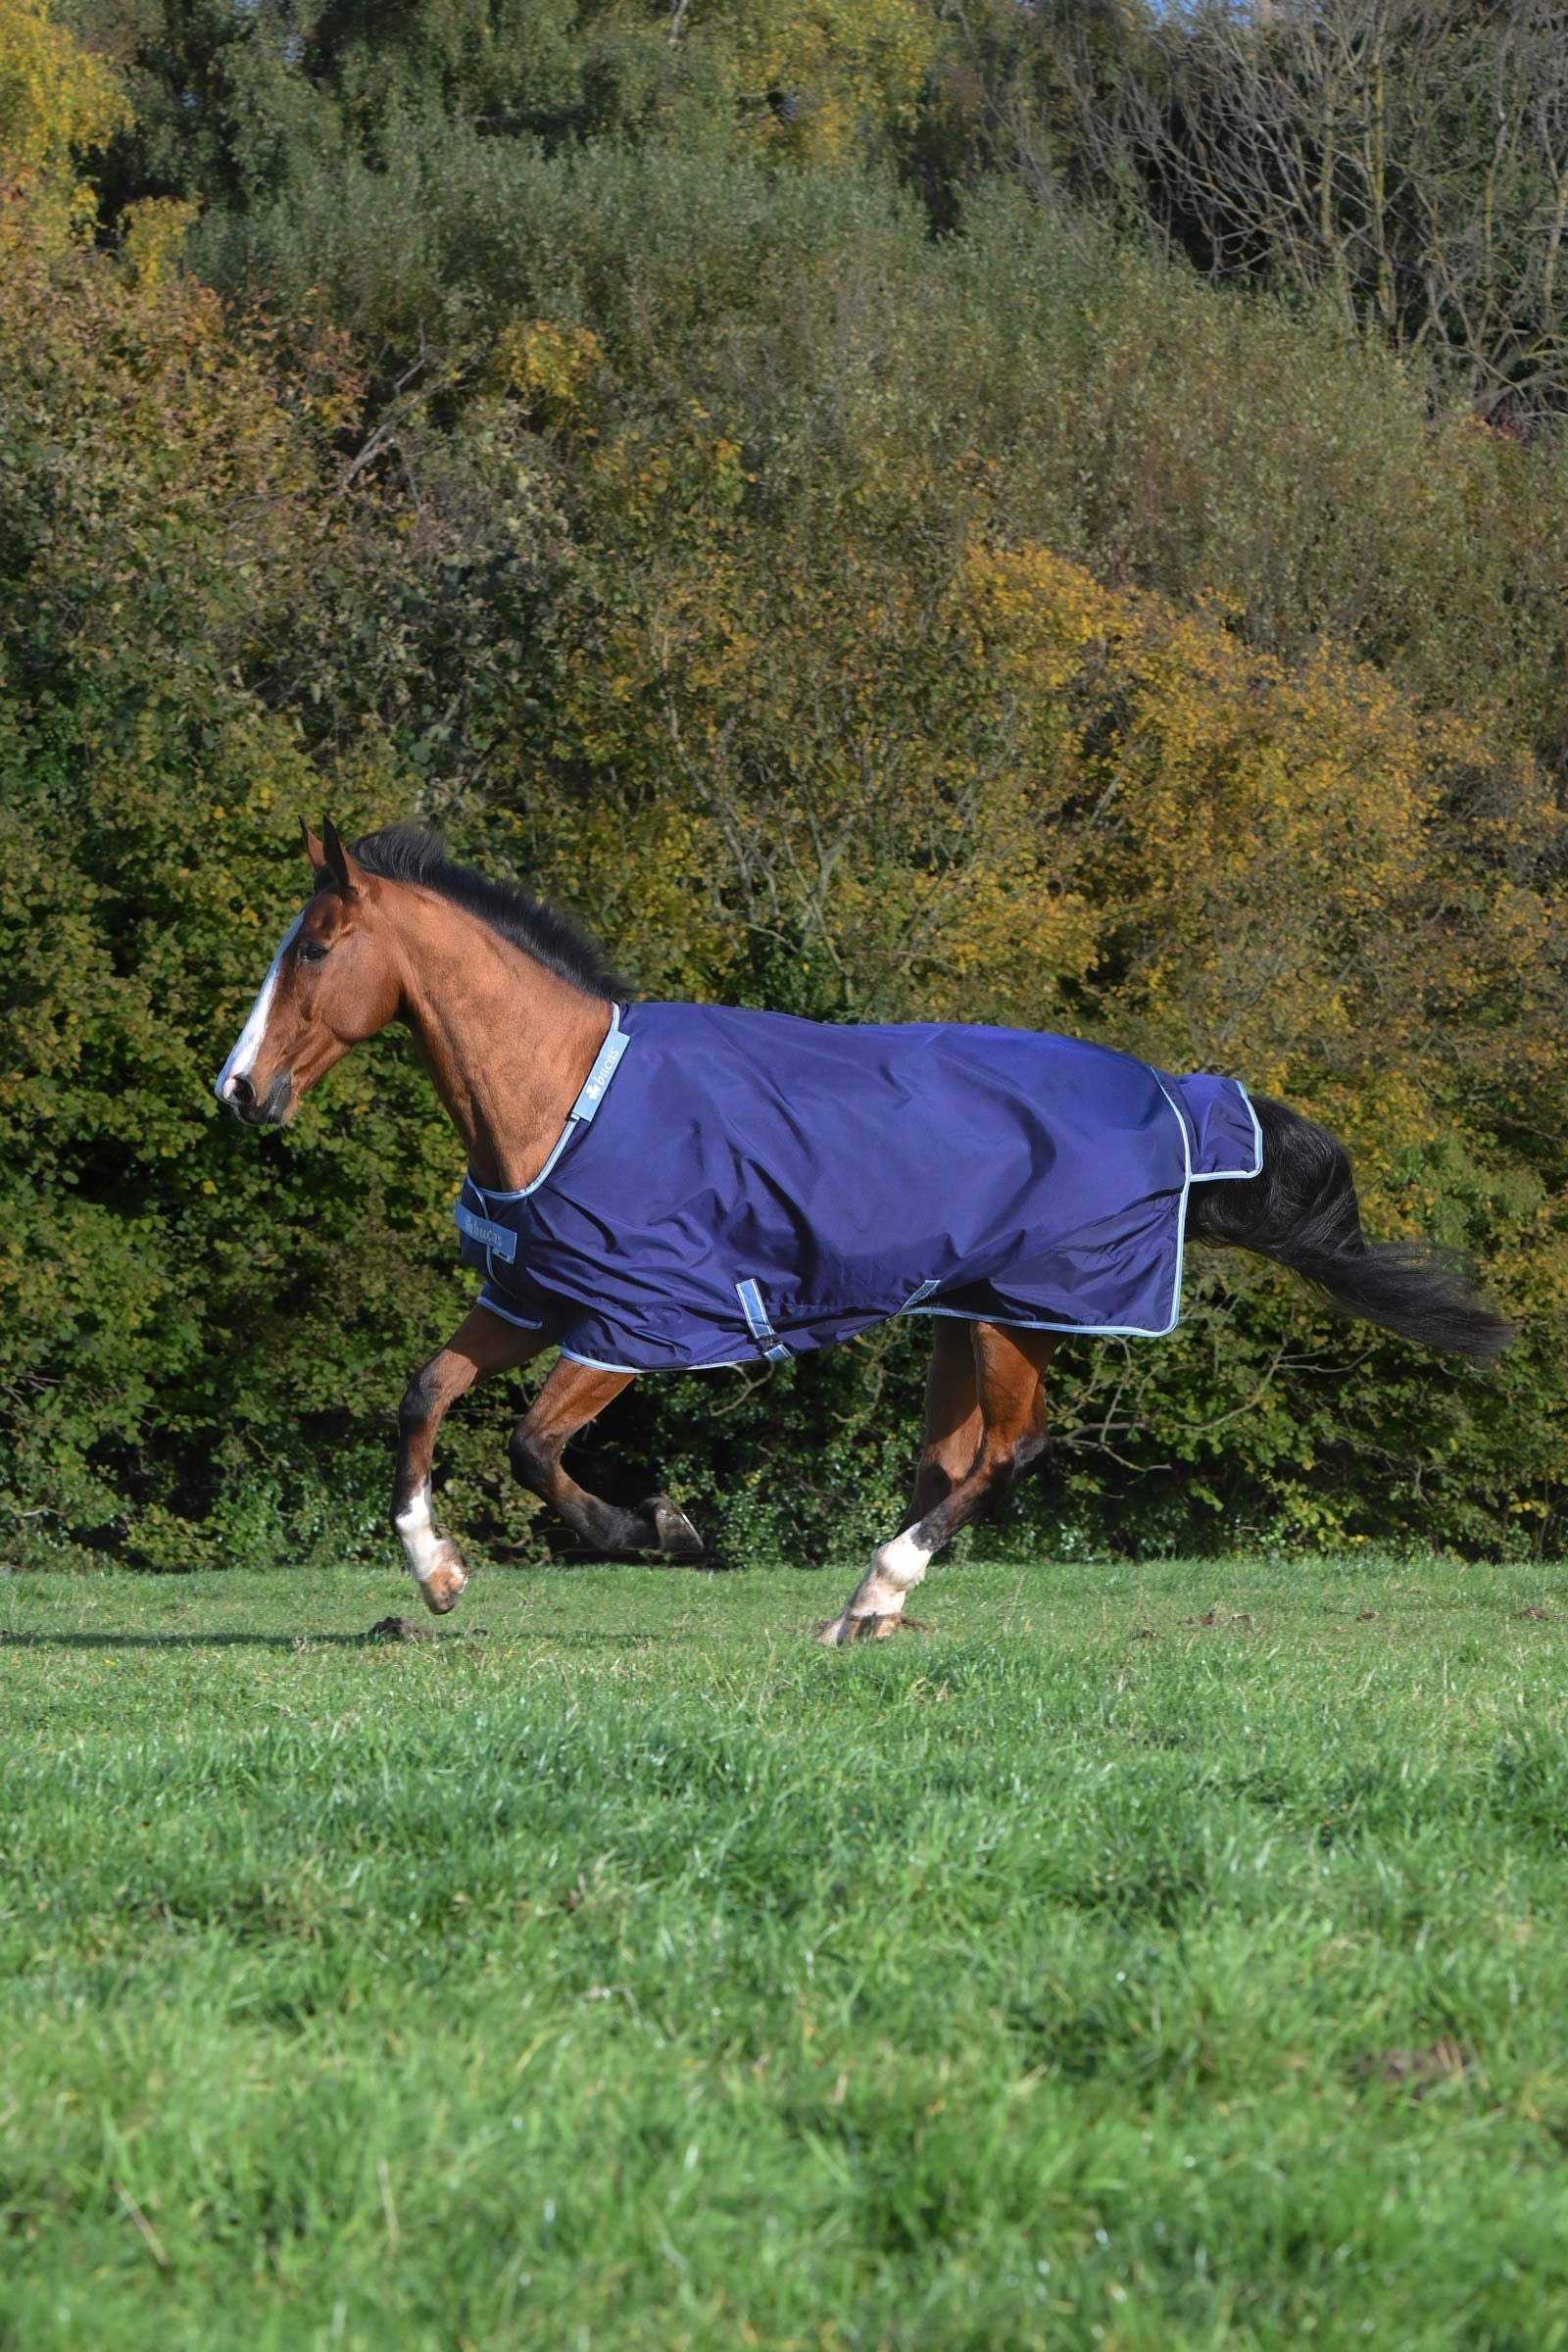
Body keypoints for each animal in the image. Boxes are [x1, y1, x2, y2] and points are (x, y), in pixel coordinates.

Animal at [215, 819, 1511, 1642]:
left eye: (314, 948)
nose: (238, 1091)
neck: (569, 1097)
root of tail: (1173, 1105)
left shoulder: (638, 1320)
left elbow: (534, 1447)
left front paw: (661, 1529)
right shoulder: (533, 1296)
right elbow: (424, 1397)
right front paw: (435, 1575)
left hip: (1016, 1314)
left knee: (1009, 1453)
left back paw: (876, 1593)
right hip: (958, 1316)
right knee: (956, 1457)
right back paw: (866, 1610)